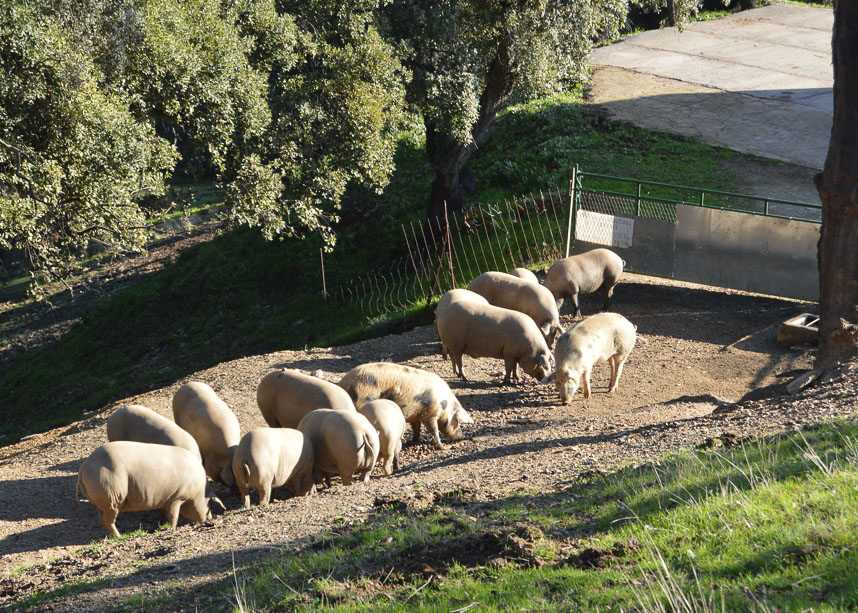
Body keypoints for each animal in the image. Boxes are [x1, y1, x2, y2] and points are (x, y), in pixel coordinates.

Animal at [76, 441, 224, 537]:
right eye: (209, 505)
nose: (210, 519)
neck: (198, 492)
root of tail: (83, 469)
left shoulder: (166, 499)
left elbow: (165, 514)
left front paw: (162, 526)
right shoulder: (177, 497)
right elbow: (174, 516)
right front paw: (172, 529)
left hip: (103, 502)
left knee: (101, 520)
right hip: (113, 496)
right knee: (108, 521)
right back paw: (120, 537)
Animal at [338, 362, 473, 450]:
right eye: (457, 421)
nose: (462, 436)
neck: (444, 404)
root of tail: (342, 384)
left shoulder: (417, 414)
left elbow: (416, 427)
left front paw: (417, 440)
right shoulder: (430, 413)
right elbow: (433, 429)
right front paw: (442, 447)